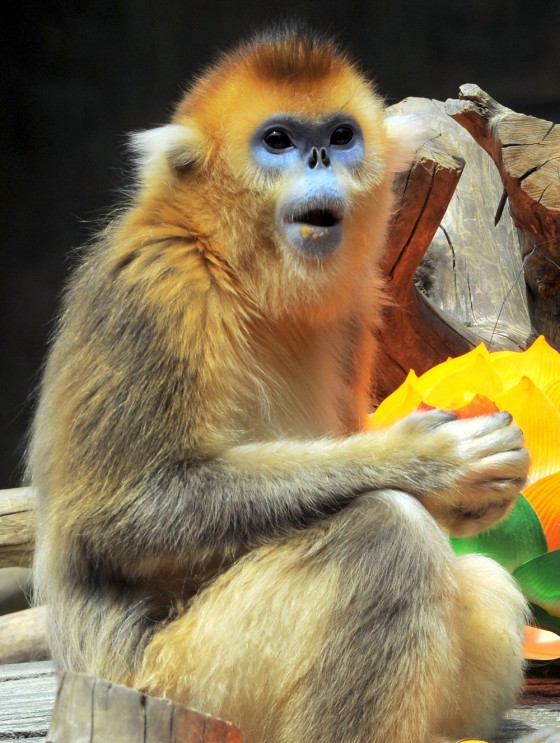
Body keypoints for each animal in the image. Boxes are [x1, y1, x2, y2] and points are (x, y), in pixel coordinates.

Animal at [27, 26, 560, 743]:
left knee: (486, 581)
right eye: (278, 140)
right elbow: (120, 517)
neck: (235, 266)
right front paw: (425, 460)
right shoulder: (159, 288)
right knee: (383, 532)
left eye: (340, 135)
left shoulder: (356, 310)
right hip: (184, 682)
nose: (318, 158)